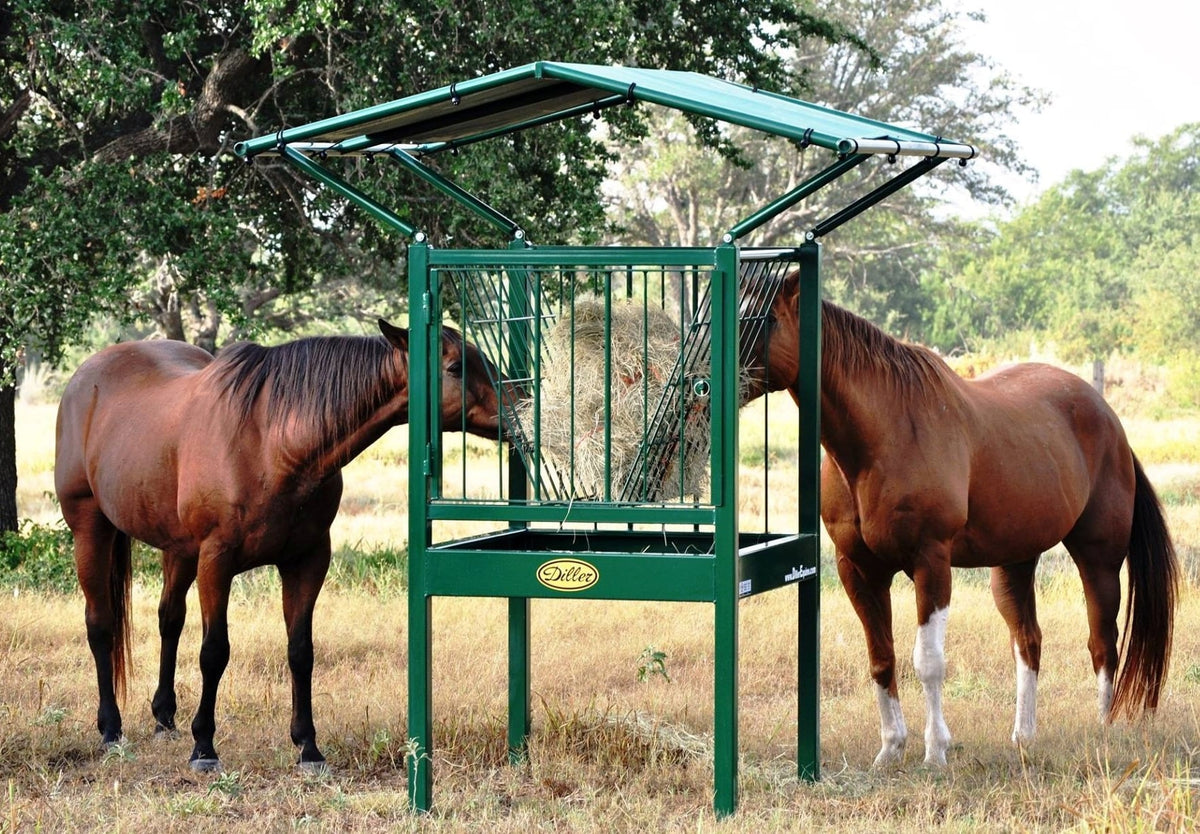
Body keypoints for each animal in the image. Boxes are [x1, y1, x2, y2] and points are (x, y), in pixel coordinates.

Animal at [54, 320, 503, 772]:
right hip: (91, 529)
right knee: (101, 624)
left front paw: (308, 747)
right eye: (456, 367)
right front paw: (204, 747)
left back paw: (164, 718)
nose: (516, 406)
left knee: (170, 619)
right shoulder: (216, 561)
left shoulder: (307, 560)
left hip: (177, 548)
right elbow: (214, 651)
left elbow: (300, 651)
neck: (270, 443)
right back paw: (111, 729)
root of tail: (87, 375)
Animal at [746, 271, 1179, 767]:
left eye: (765, 318)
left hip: (1099, 559)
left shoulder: (930, 562)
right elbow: (881, 657)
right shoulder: (858, 569)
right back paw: (1023, 736)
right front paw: (890, 749)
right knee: (1028, 641)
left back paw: (1103, 729)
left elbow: (929, 662)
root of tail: (1109, 418)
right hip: (1013, 564)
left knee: (1103, 643)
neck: (885, 436)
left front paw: (935, 752)